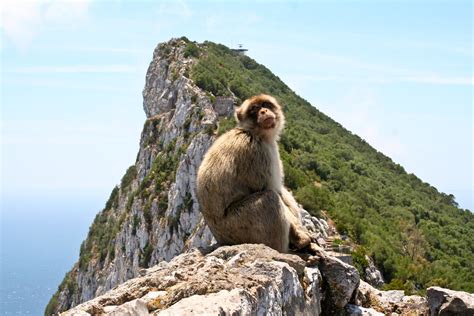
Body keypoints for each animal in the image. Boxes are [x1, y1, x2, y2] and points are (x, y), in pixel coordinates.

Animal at [194, 93, 312, 252]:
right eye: (254, 109)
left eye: (266, 105)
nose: (263, 111)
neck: (252, 132)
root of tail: (221, 239)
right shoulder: (258, 153)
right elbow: (271, 189)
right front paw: (300, 236)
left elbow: (282, 192)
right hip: (240, 227)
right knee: (269, 199)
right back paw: (282, 250)